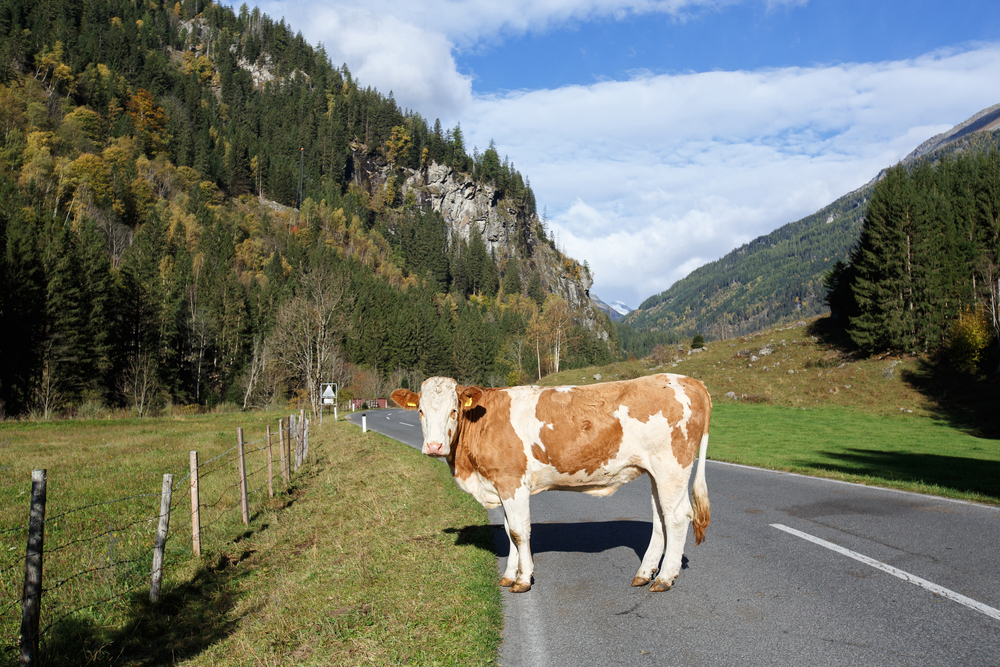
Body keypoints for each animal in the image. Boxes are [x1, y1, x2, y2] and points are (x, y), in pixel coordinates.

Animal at [390, 374, 711, 593]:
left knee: (678, 517)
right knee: (660, 518)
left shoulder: (512, 482)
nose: (434, 446)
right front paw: (509, 575)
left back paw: (665, 578)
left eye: (454, 410)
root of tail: (686, 379)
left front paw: (522, 579)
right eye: (420, 411)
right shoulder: (501, 485)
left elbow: (519, 532)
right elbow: (508, 530)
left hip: (671, 467)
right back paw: (645, 573)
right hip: (656, 473)